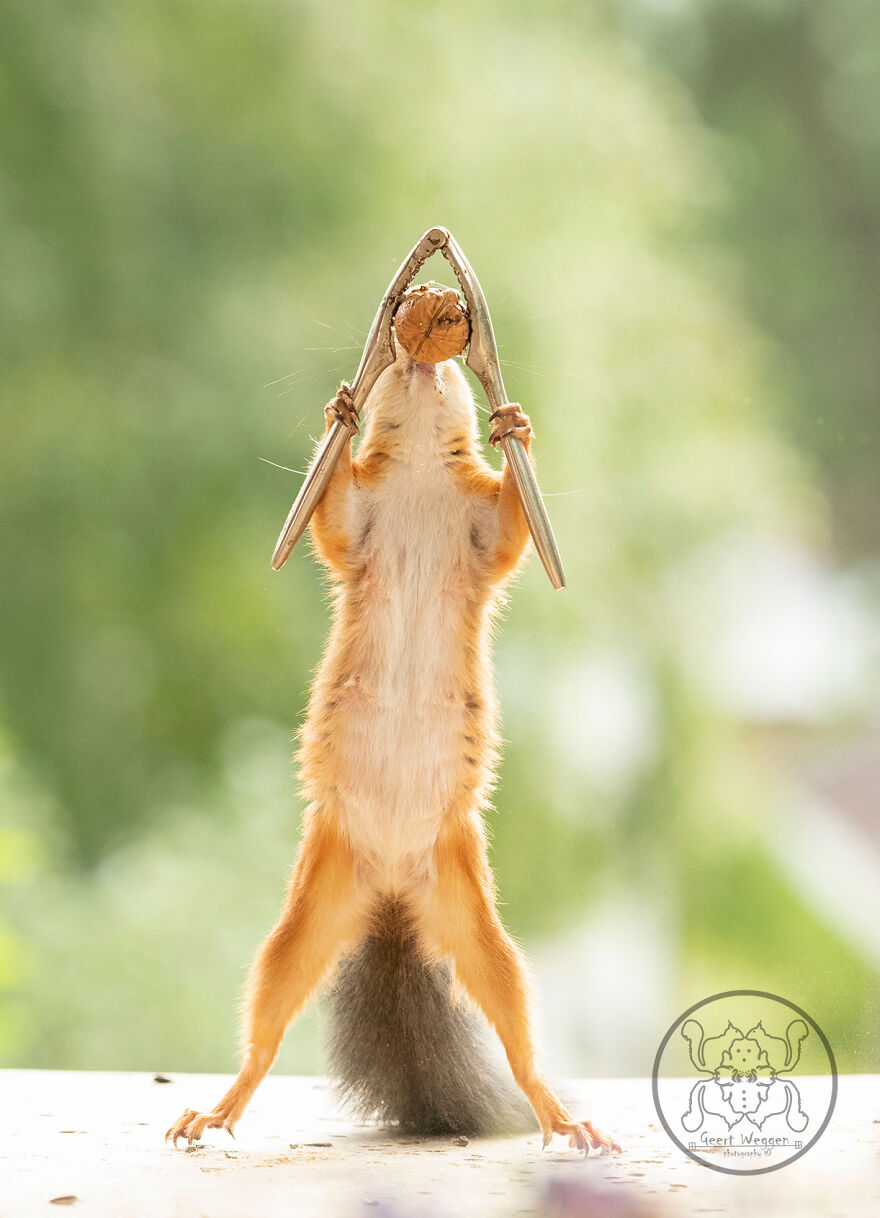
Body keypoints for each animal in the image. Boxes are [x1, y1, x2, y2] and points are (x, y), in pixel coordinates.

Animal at [166, 346, 621, 1156]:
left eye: (461, 378)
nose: (419, 358)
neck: (418, 472)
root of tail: (390, 895)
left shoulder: (481, 530)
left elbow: (511, 533)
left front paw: (516, 425)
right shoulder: (361, 522)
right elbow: (333, 522)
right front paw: (338, 411)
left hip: (473, 917)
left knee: (515, 1029)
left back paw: (562, 1116)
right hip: (311, 908)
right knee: (266, 1026)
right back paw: (219, 1108)